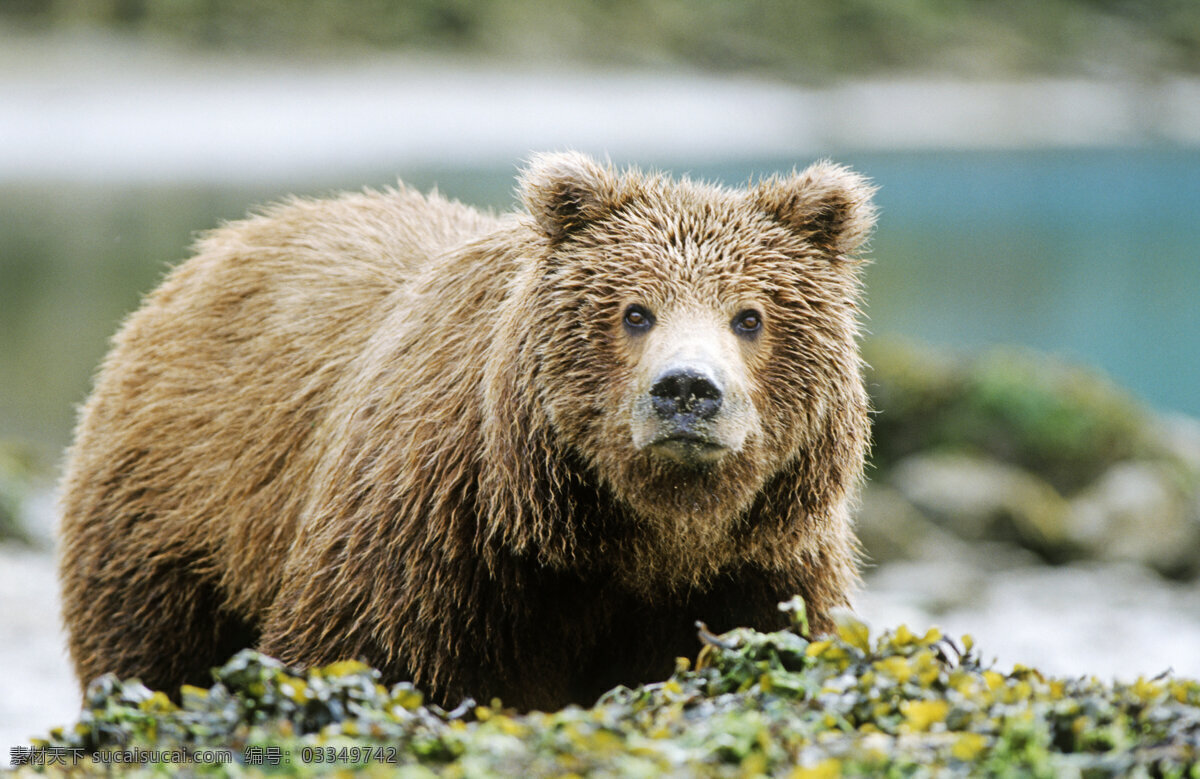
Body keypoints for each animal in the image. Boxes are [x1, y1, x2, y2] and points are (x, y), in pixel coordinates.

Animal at [58, 151, 873, 710]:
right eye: (634, 311)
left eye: (750, 316)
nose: (687, 390)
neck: (636, 537)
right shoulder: (435, 539)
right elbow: (361, 651)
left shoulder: (761, 566)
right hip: (176, 503)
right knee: (151, 646)